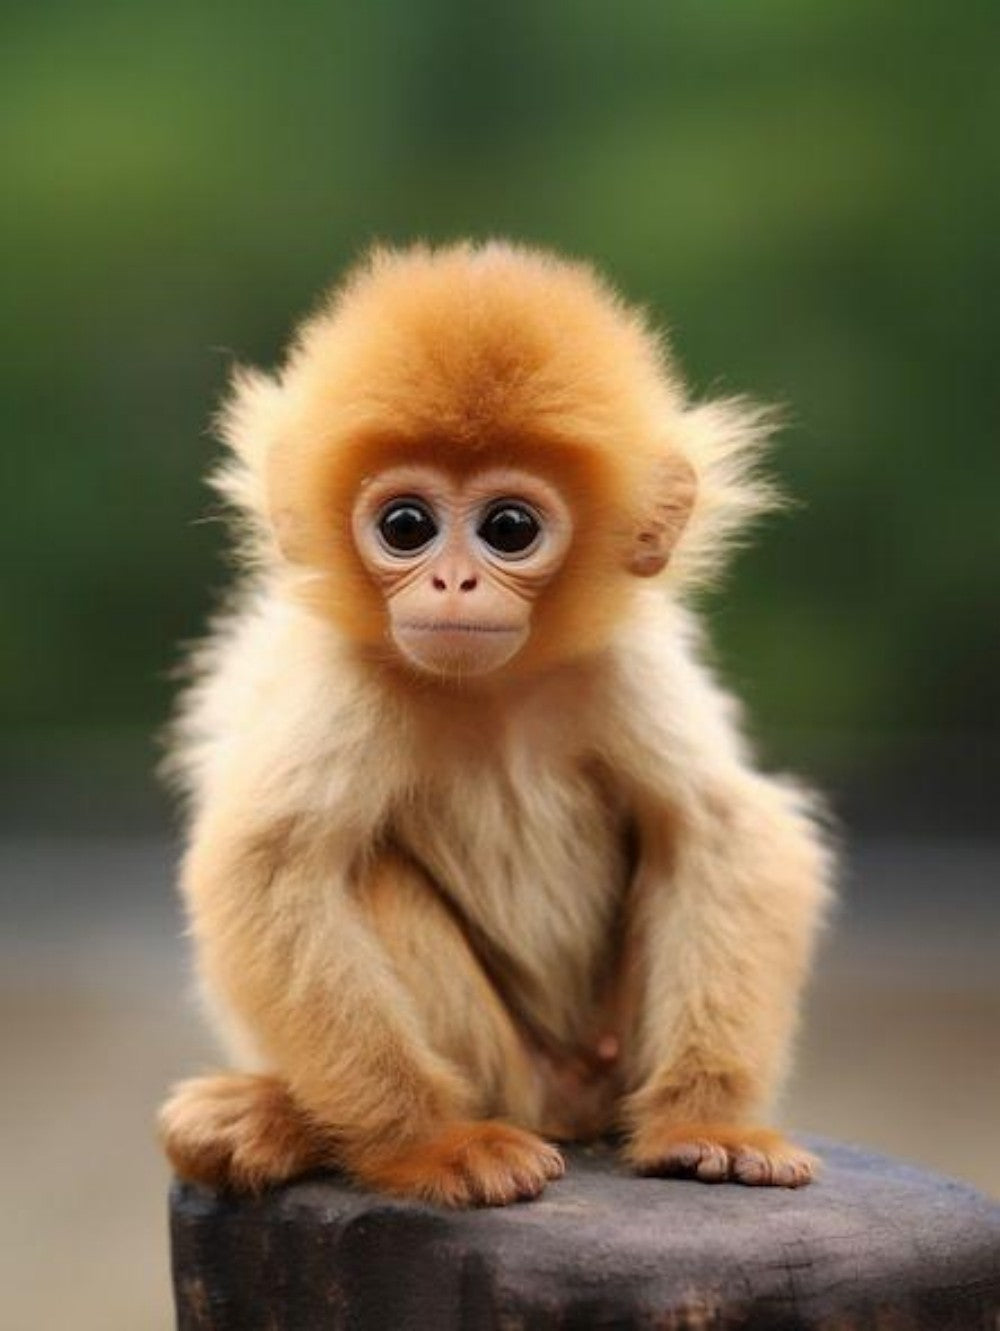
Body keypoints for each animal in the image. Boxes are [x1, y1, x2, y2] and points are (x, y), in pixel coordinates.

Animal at [158, 240, 832, 1207]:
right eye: (406, 525)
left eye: (509, 528)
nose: (453, 582)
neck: (493, 692)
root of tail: (568, 1104)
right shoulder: (346, 680)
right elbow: (270, 866)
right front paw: (430, 1144)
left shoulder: (622, 668)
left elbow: (724, 828)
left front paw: (710, 1123)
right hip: (517, 1076)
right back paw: (281, 1117)